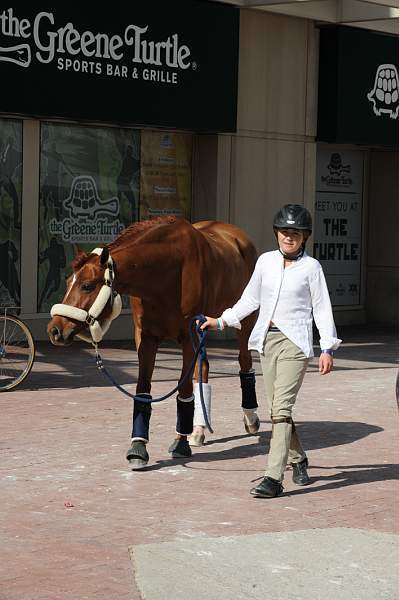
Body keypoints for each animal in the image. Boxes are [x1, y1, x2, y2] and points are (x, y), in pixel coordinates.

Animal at [47, 216, 260, 468]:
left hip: (244, 321)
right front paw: (138, 447)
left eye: (87, 285)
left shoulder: (188, 336)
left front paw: (180, 443)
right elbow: (143, 389)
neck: (168, 270)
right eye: (68, 281)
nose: (55, 330)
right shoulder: (146, 337)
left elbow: (184, 388)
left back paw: (250, 418)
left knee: (244, 361)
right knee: (204, 368)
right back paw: (199, 429)